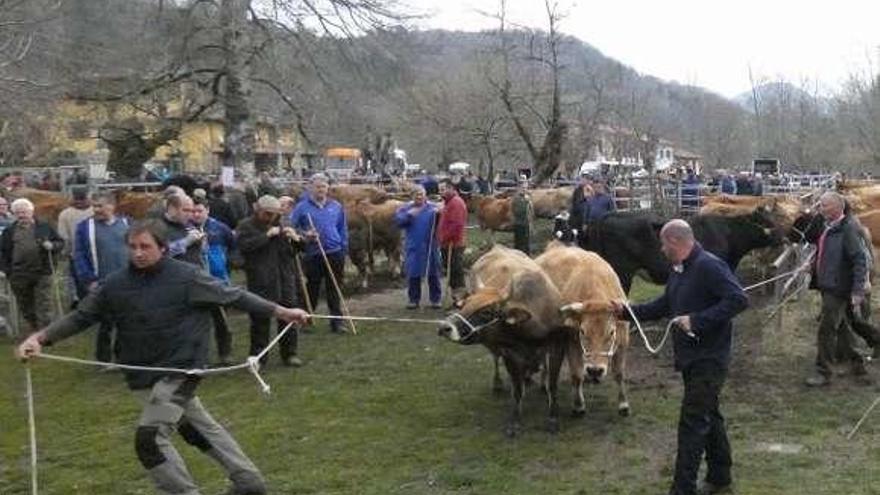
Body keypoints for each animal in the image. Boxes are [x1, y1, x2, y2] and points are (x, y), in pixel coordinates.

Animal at [436, 246, 568, 436]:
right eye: (465, 304)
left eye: (486, 312)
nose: (444, 327)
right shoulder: (509, 353)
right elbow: (517, 390)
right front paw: (515, 420)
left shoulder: (557, 346)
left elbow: (552, 385)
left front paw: (553, 417)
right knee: (495, 357)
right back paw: (498, 383)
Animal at [532, 244, 628, 418]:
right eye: (583, 332)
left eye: (611, 333)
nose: (595, 370)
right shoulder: (572, 343)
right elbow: (576, 375)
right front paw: (578, 406)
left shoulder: (623, 342)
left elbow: (619, 373)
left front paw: (623, 405)